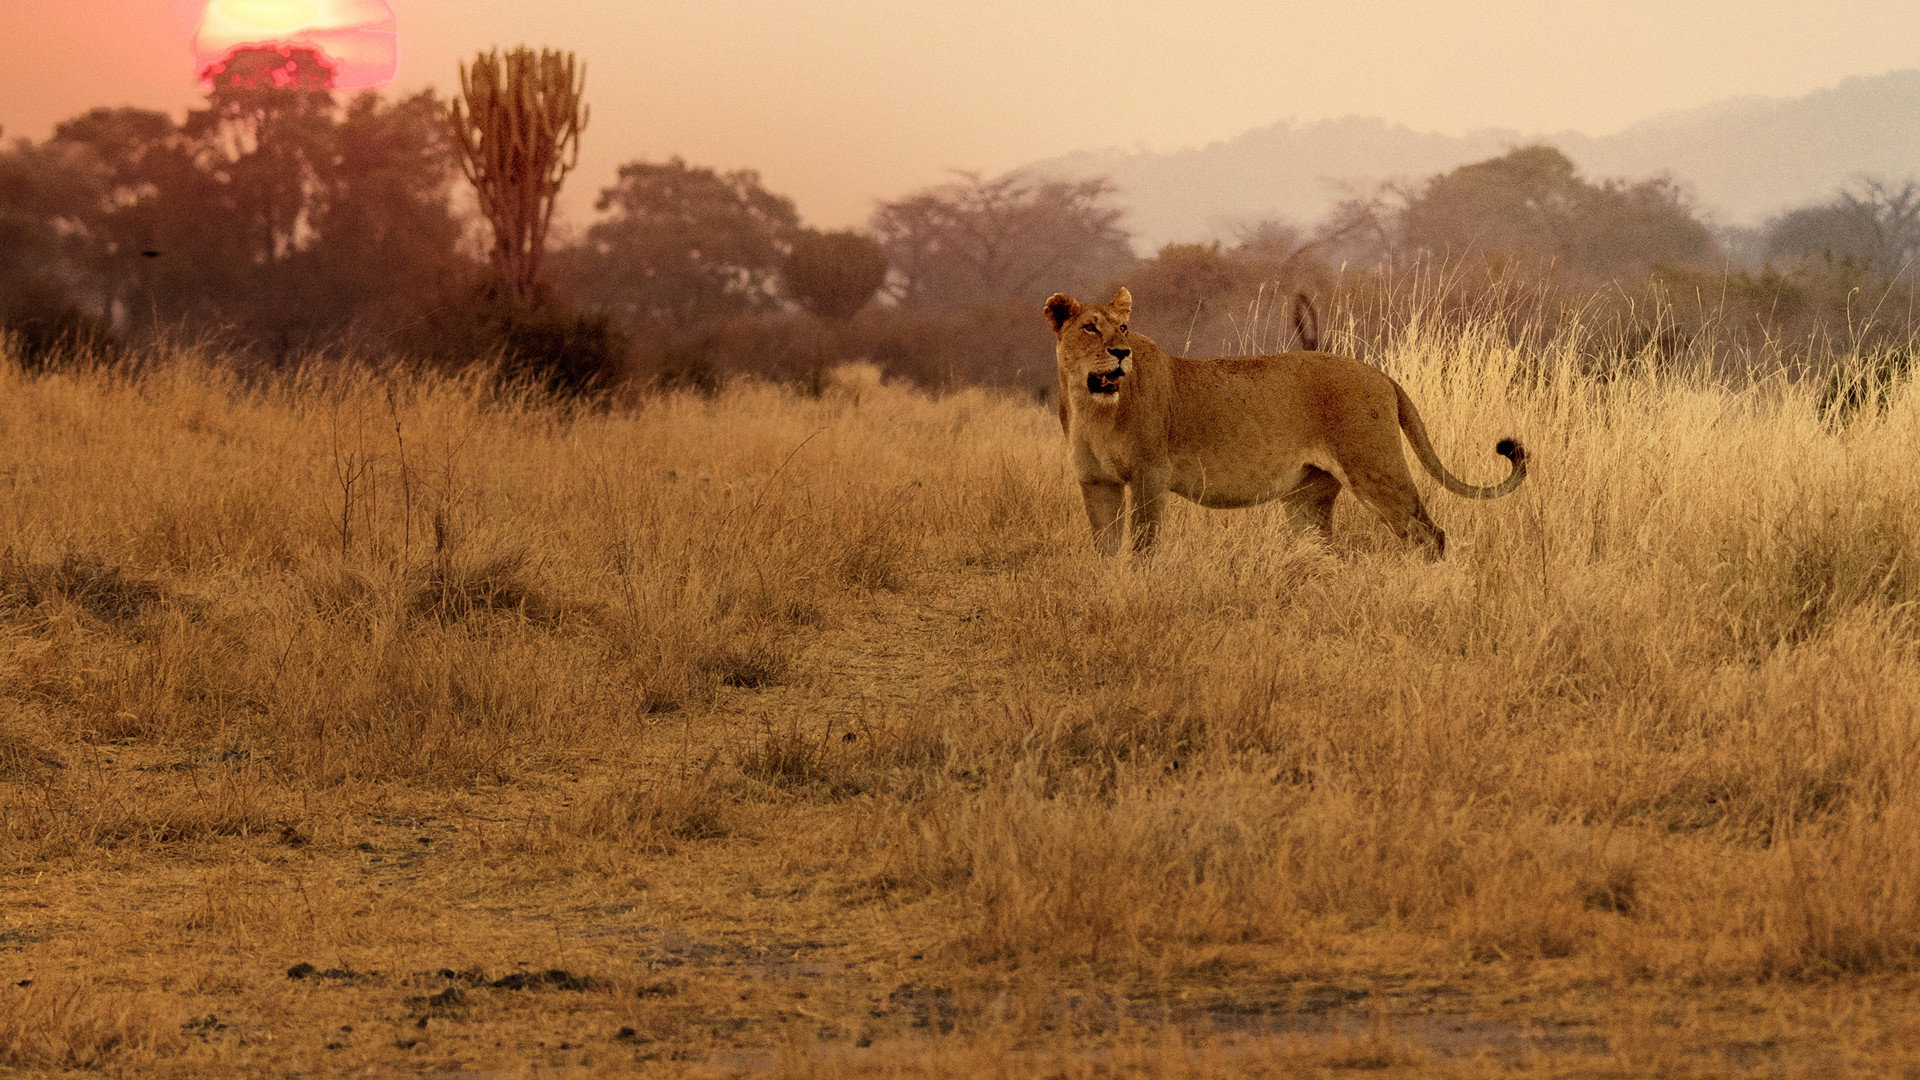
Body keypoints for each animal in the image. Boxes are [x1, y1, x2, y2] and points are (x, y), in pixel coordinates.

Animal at [1045, 287, 1526, 557]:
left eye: (1123, 328)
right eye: (1090, 328)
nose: (1121, 352)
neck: (1093, 407)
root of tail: (1380, 374)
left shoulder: (1150, 476)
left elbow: (1142, 547)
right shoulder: (1095, 481)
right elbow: (1105, 550)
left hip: (1374, 467)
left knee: (1428, 534)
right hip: (1306, 496)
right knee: (1327, 551)